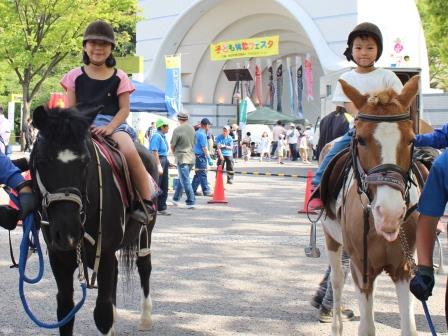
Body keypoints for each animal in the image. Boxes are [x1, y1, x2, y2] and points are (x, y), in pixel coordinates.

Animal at [28, 103, 157, 334]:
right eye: (42, 161)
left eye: (85, 162)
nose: (68, 232)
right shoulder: (58, 257)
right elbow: (66, 310)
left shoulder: (103, 254)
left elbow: (102, 313)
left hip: (146, 230)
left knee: (144, 265)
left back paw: (145, 318)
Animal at [322, 76, 424, 336]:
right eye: (361, 139)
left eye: (411, 139)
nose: (390, 214)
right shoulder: (361, 268)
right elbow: (367, 328)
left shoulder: (403, 268)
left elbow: (409, 329)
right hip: (331, 239)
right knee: (337, 281)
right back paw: (336, 323)